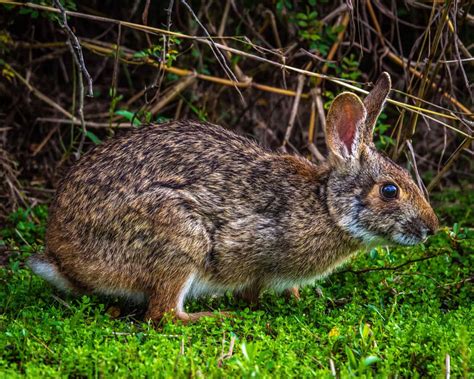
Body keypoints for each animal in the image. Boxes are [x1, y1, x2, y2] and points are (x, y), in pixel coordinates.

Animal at [28, 73, 436, 324]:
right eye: (389, 190)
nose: (431, 228)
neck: (326, 206)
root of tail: (64, 260)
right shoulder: (254, 251)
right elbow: (251, 289)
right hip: (179, 239)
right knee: (163, 316)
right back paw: (216, 317)